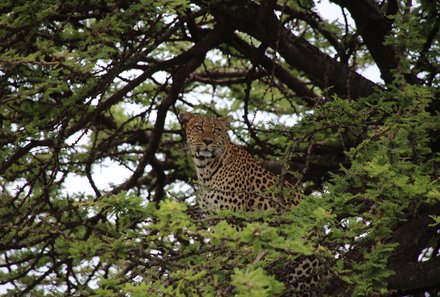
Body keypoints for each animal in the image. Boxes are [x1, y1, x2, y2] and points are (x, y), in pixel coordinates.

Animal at [179, 111, 330, 296]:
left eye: (217, 130)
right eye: (199, 127)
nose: (208, 141)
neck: (205, 170)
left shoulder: (233, 217)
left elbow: (230, 249)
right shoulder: (214, 220)